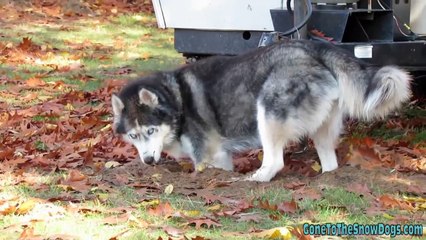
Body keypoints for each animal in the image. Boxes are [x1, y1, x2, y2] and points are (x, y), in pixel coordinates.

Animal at [111, 39, 412, 182]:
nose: (148, 161)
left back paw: (256, 179)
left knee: (275, 161)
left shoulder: (207, 156)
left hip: (267, 112)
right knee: (330, 163)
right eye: (134, 136)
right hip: (321, 130)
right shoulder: (220, 156)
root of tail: (311, 46)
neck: (176, 101)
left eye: (151, 130)